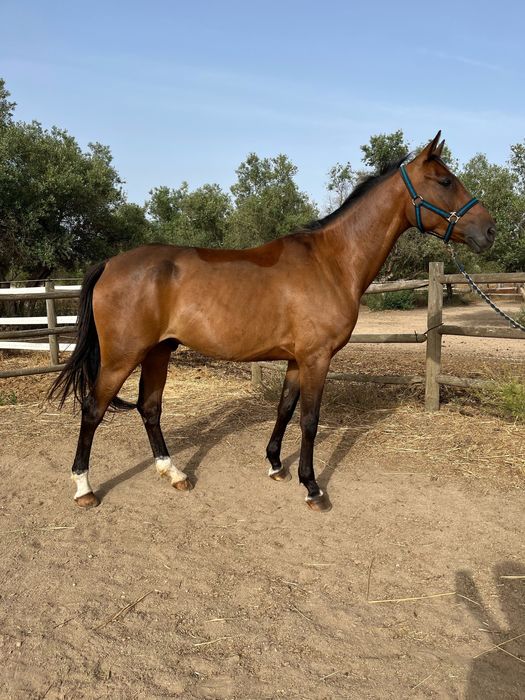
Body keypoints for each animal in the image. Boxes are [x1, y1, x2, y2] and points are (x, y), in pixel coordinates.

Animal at [49, 132, 496, 512]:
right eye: (445, 181)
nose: (490, 230)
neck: (331, 261)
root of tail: (111, 263)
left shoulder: (297, 359)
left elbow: (284, 409)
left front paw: (276, 465)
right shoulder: (317, 358)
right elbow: (310, 420)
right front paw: (312, 487)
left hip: (159, 351)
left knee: (150, 408)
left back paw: (174, 473)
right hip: (123, 356)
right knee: (93, 409)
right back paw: (84, 488)